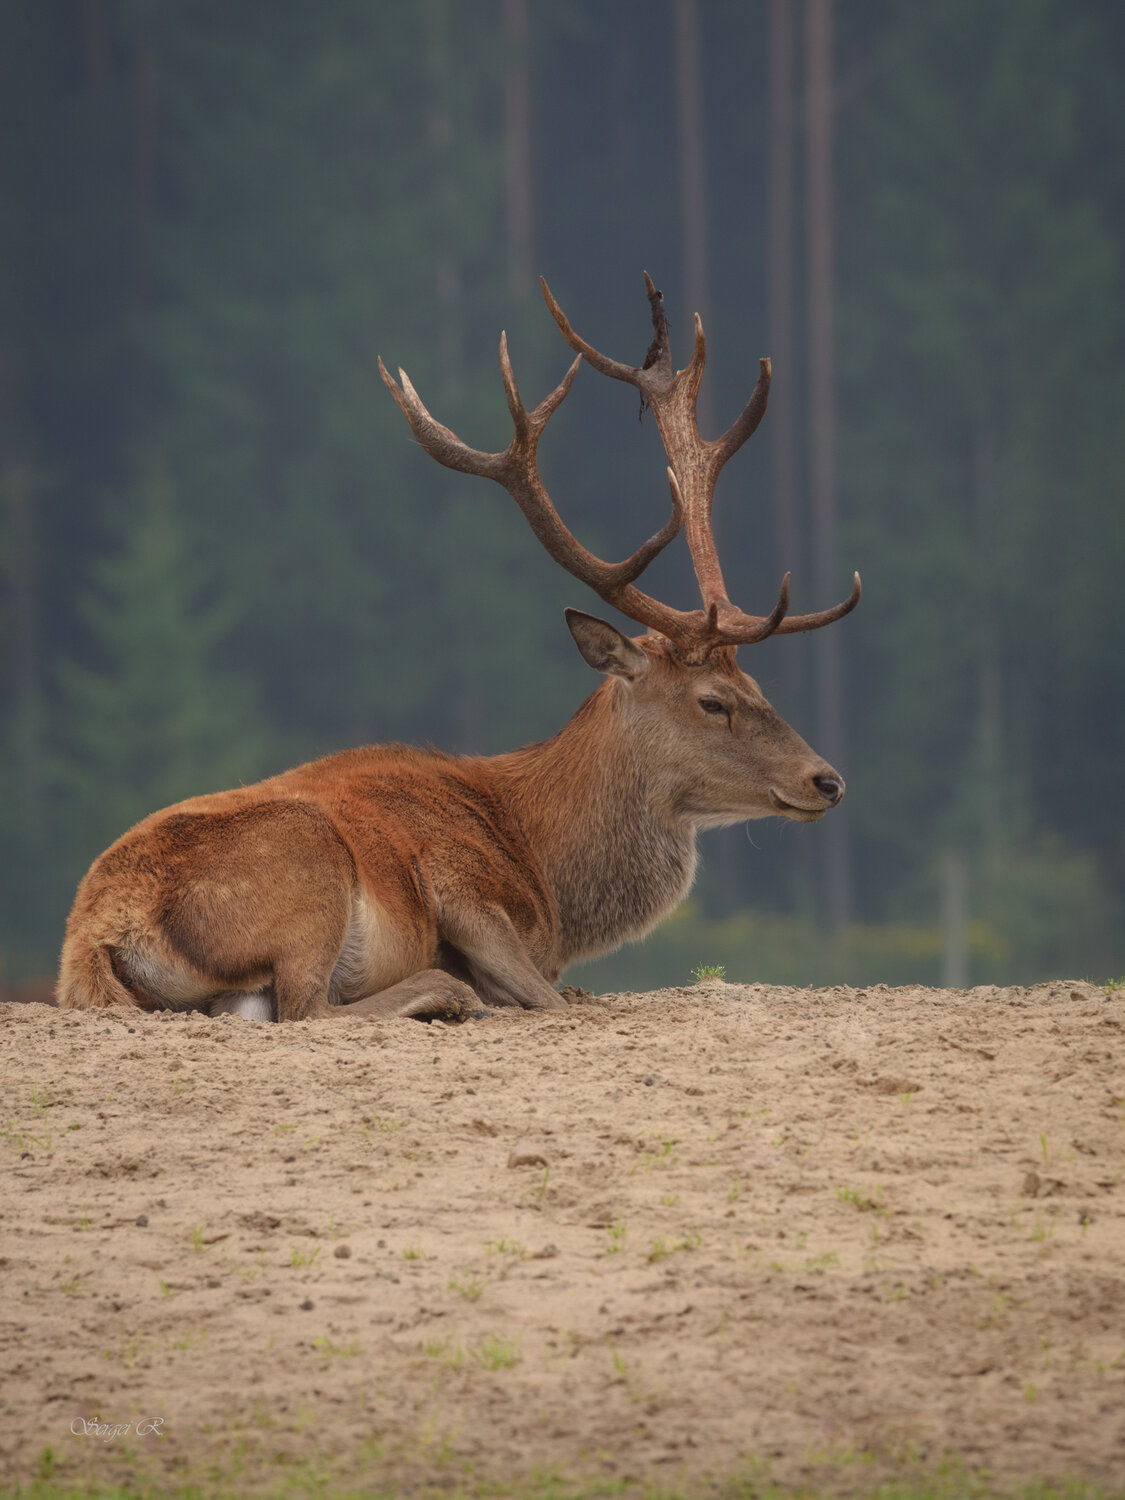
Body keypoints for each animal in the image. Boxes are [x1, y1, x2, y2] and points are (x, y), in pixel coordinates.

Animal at [56, 273, 860, 1024]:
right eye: (712, 702)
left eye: (757, 688)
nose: (827, 780)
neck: (546, 872)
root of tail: (96, 938)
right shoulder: (459, 885)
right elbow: (547, 995)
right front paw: (482, 989)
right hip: (305, 863)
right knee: (308, 1007)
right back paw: (450, 994)